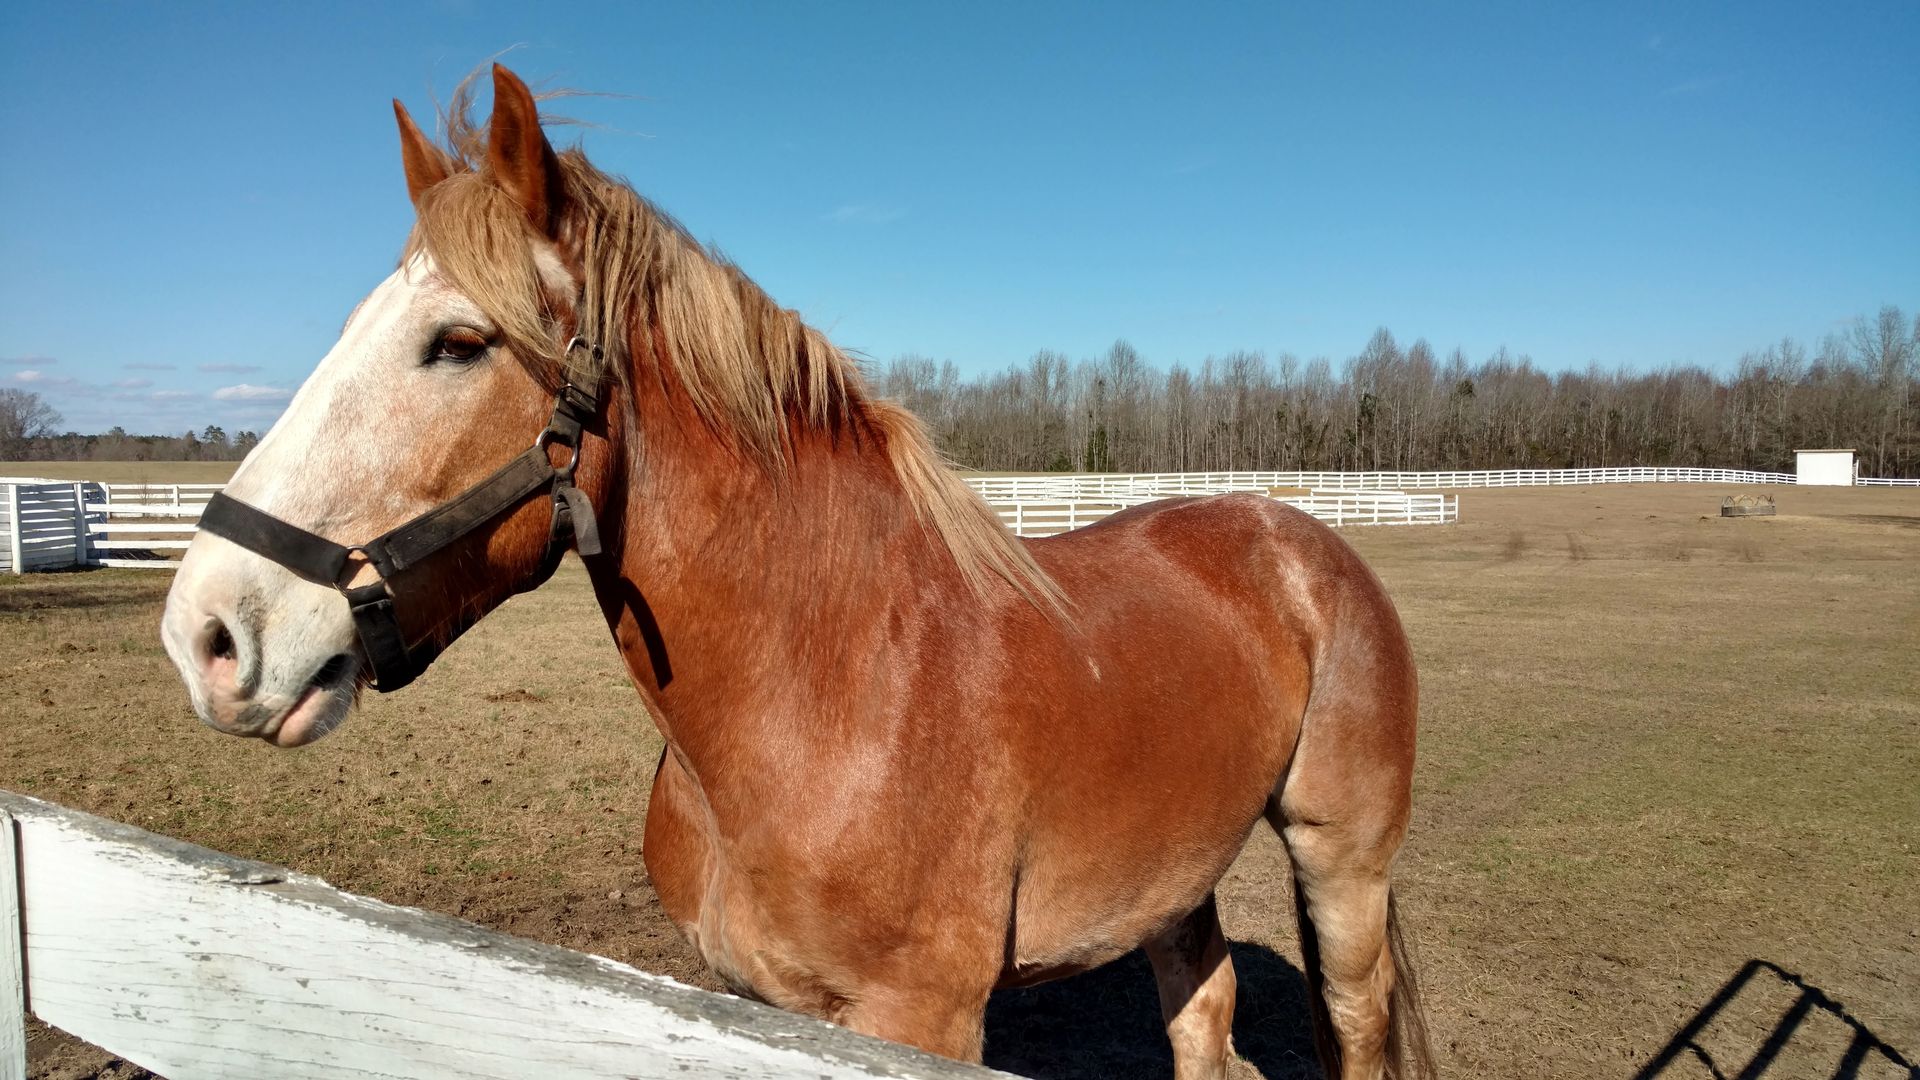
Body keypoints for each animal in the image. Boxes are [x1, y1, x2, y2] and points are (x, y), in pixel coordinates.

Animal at [160, 64, 1436, 1080]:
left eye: (460, 343)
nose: (207, 633)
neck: (830, 689)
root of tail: (1301, 538)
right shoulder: (753, 1005)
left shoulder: (922, 1021)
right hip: (1176, 883)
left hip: (1343, 870)